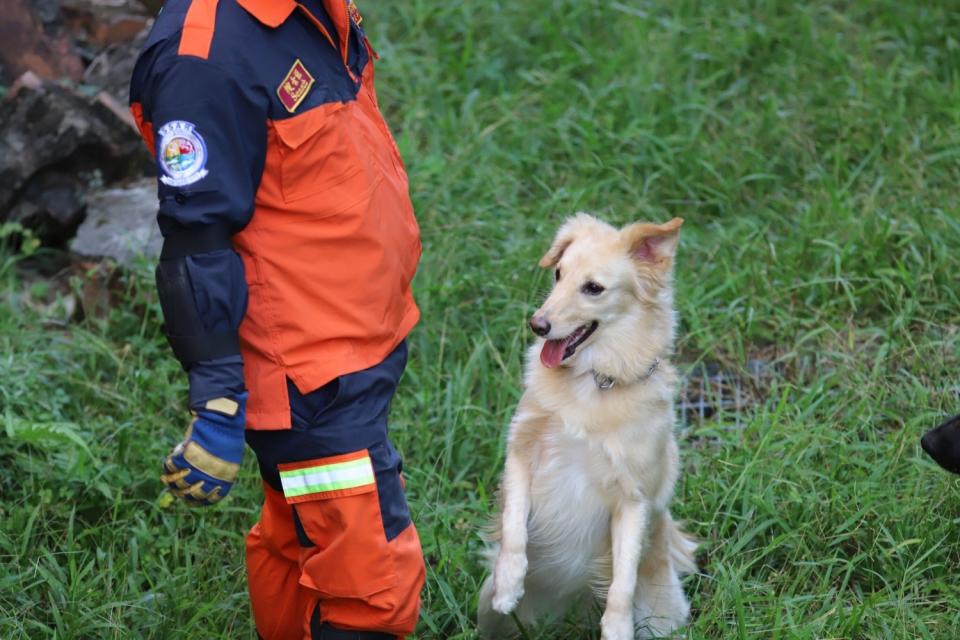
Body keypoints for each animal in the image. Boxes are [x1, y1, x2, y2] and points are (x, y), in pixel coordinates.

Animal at [480, 214, 696, 640]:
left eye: (593, 288)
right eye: (558, 274)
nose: (537, 324)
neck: (594, 382)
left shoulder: (634, 499)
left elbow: (623, 582)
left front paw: (616, 627)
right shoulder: (521, 453)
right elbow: (514, 526)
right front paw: (510, 582)